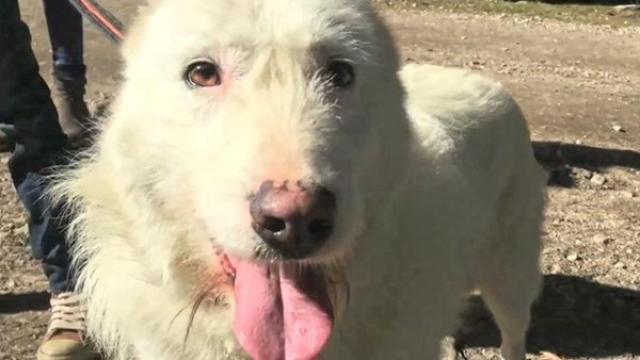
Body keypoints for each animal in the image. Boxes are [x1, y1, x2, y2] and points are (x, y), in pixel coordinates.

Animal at [52, 0, 548, 360]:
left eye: (340, 73)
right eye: (202, 72)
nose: (295, 222)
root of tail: (486, 82)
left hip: (512, 280)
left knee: (514, 338)